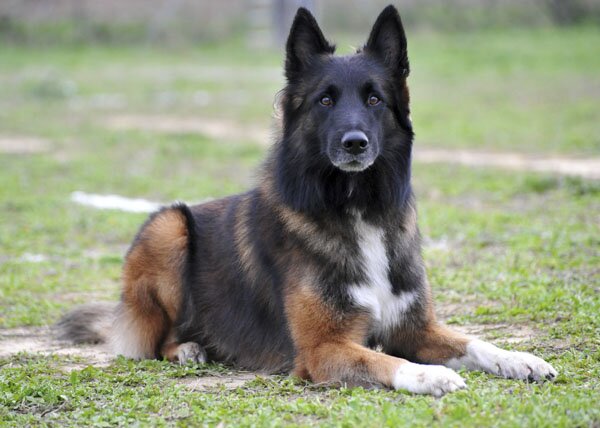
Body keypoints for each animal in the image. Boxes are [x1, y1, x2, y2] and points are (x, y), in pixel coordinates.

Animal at [58, 5, 556, 396]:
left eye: (374, 99)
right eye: (325, 101)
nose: (355, 143)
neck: (357, 210)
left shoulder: (417, 328)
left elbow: (474, 341)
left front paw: (520, 358)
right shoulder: (323, 348)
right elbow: (389, 361)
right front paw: (430, 376)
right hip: (168, 227)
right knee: (154, 342)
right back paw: (188, 348)